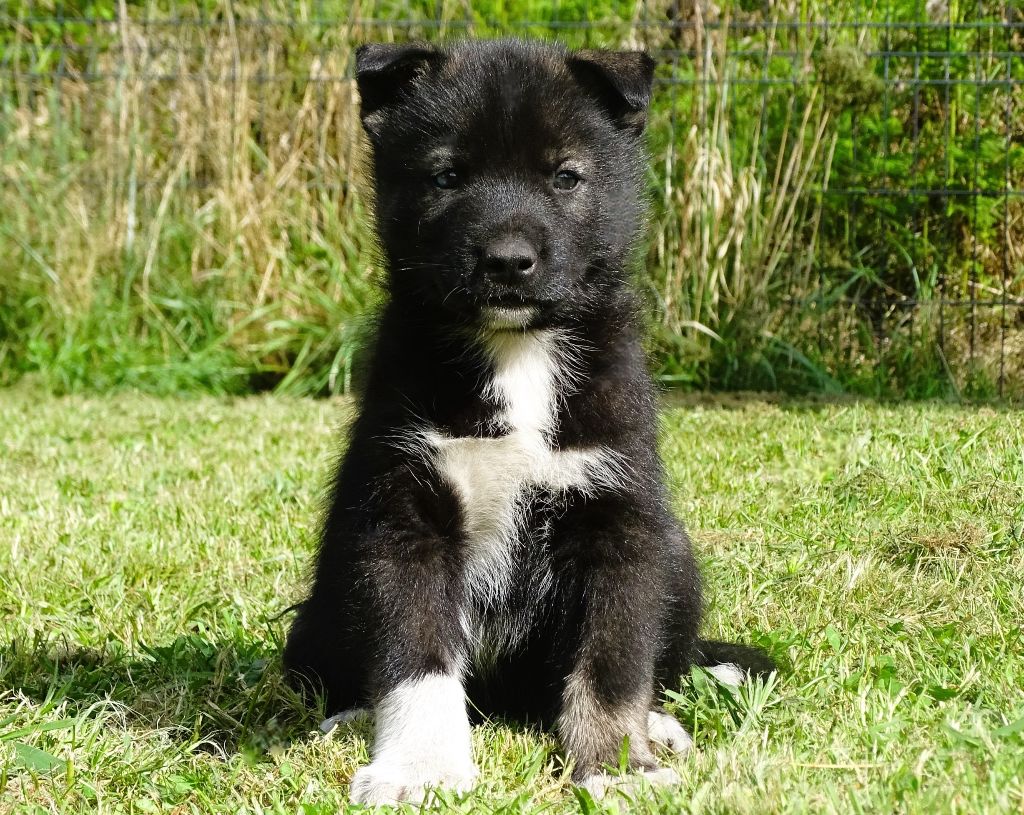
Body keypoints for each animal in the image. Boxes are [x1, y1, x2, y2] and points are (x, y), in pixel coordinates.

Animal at [283, 38, 774, 805]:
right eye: (447, 175)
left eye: (566, 177)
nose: (507, 262)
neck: (517, 353)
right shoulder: (404, 512)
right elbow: (416, 659)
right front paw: (420, 768)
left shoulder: (616, 516)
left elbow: (612, 664)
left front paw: (617, 764)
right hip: (323, 599)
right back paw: (352, 716)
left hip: (676, 561)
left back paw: (658, 725)